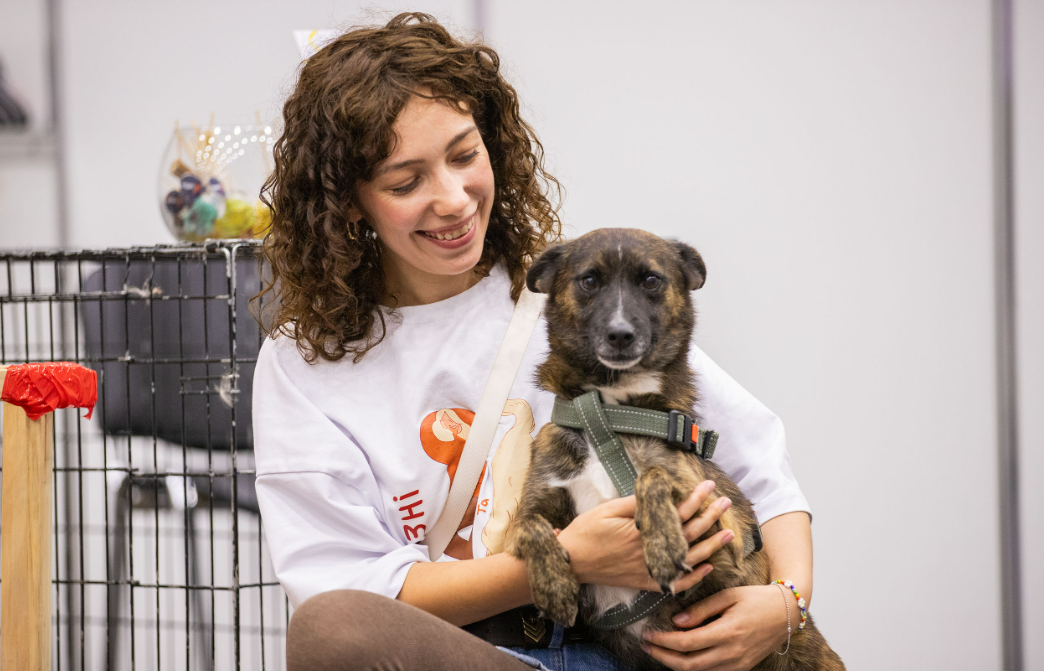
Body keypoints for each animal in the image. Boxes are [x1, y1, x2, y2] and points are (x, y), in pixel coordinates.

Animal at [504, 230, 840, 669]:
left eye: (651, 280)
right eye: (589, 280)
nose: (620, 334)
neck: (612, 413)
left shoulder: (724, 537)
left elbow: (653, 473)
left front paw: (663, 543)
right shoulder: (529, 511)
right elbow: (530, 525)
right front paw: (554, 586)